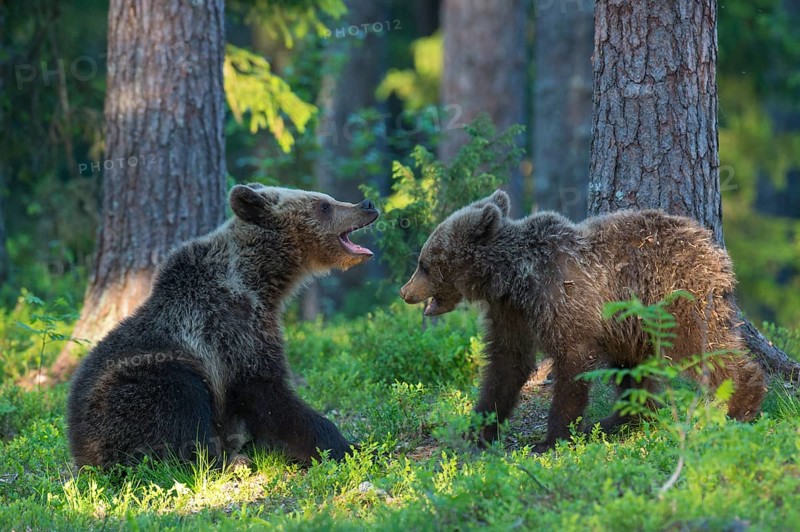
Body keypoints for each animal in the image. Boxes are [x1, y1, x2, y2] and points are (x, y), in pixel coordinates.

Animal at [67, 184, 379, 467]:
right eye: (323, 205)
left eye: (328, 199)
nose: (367, 204)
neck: (260, 281)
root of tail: (81, 454)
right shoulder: (230, 330)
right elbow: (270, 397)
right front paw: (351, 447)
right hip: (142, 382)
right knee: (180, 406)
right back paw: (229, 462)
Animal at [399, 190, 765, 451]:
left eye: (424, 263)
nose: (405, 292)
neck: (513, 278)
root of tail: (712, 246)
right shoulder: (511, 312)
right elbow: (506, 364)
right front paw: (478, 430)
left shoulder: (561, 299)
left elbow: (572, 362)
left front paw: (551, 439)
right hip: (633, 325)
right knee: (635, 370)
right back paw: (618, 420)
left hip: (677, 297)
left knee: (704, 345)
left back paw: (741, 405)